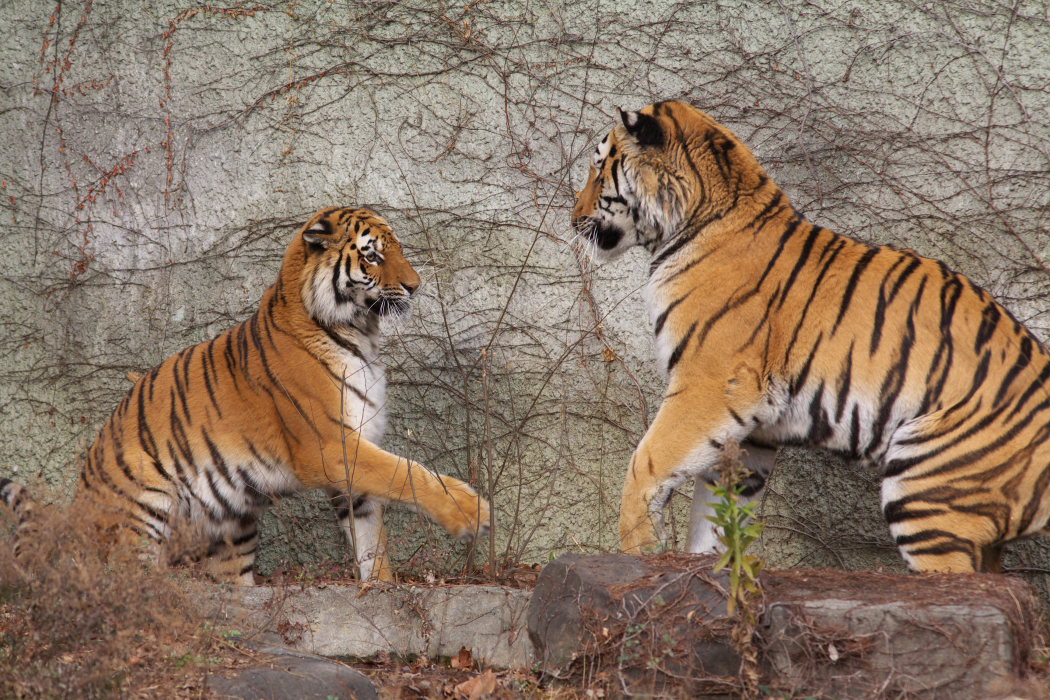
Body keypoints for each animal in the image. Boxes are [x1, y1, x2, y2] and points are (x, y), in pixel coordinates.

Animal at [0, 206, 491, 587]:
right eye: (373, 255)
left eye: (398, 248)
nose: (415, 285)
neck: (359, 333)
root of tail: (74, 508)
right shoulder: (330, 446)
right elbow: (407, 473)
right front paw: (472, 512)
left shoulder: (350, 460)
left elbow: (371, 534)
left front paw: (381, 590)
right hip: (144, 513)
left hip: (233, 532)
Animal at [575, 99, 1050, 575]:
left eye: (598, 168)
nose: (573, 218)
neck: (693, 221)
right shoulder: (751, 429)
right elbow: (717, 513)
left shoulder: (708, 384)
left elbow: (646, 463)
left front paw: (637, 551)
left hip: (926, 486)